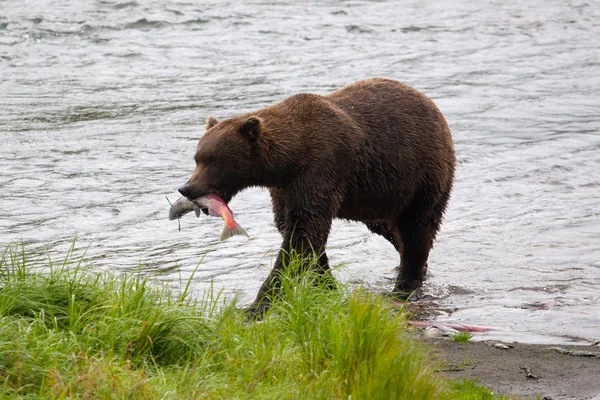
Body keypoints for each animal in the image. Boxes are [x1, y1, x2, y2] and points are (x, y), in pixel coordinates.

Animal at [178, 78, 454, 316]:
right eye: (197, 158)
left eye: (213, 160)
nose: (187, 188)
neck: (287, 162)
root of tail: (433, 106)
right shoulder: (285, 189)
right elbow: (296, 231)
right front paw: (326, 284)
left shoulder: (320, 170)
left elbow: (303, 233)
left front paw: (255, 306)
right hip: (378, 196)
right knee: (389, 228)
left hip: (423, 174)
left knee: (418, 227)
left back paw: (406, 285)